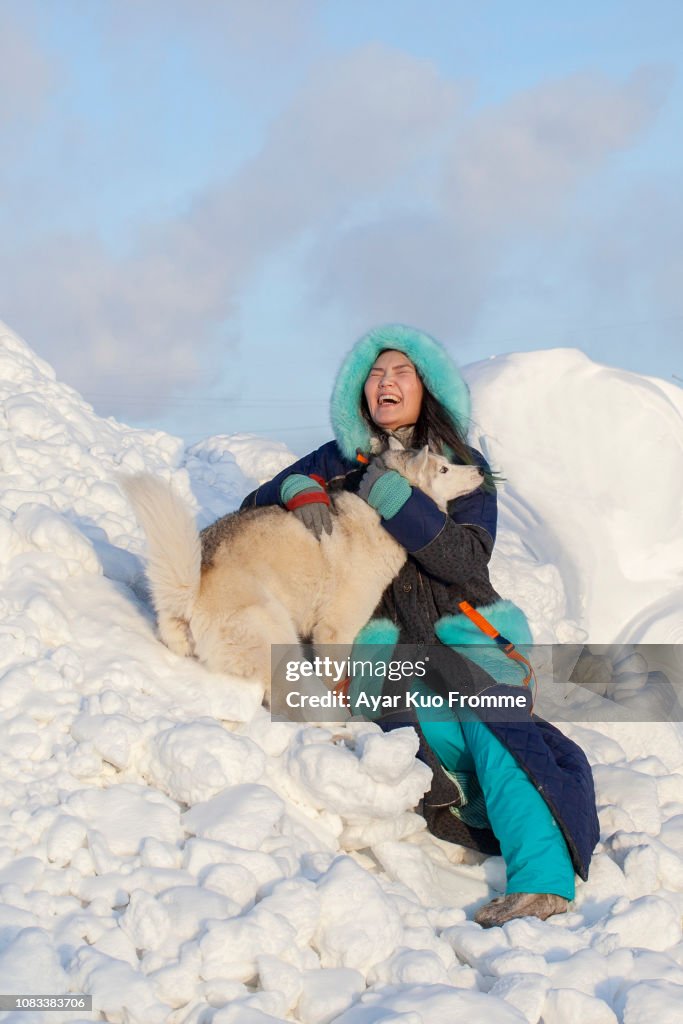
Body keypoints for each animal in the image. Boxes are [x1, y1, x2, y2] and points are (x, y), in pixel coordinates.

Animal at [120, 444, 483, 708]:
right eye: (443, 469)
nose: (480, 469)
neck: (380, 517)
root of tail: (193, 586)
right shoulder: (336, 630)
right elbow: (333, 677)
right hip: (279, 639)